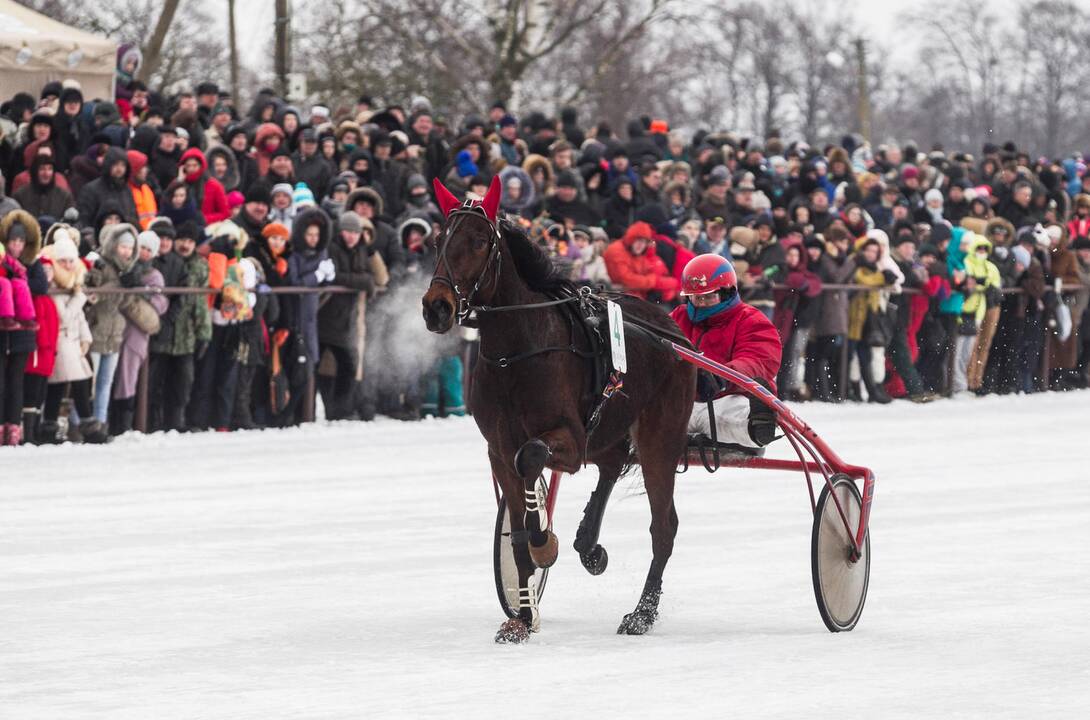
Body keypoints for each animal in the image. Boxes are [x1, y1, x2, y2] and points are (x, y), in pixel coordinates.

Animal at [420, 176, 693, 644]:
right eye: (439, 240)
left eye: (479, 241)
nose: (436, 306)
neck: (515, 353)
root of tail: (672, 329)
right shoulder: (498, 447)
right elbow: (515, 527)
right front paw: (522, 617)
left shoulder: (567, 438)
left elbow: (531, 458)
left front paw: (543, 538)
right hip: (610, 427)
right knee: (612, 464)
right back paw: (589, 546)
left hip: (660, 436)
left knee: (663, 526)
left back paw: (641, 613)